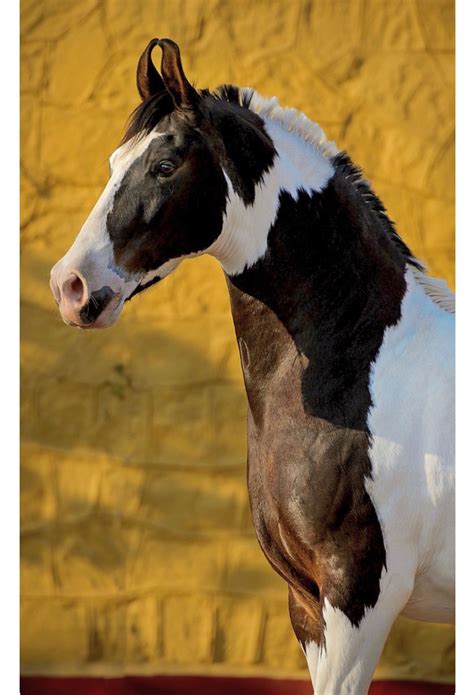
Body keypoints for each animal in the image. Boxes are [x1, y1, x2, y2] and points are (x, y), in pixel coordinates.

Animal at [50, 39, 454, 695]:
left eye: (165, 166)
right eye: (113, 161)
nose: (69, 286)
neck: (366, 370)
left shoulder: (359, 603)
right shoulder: (308, 607)